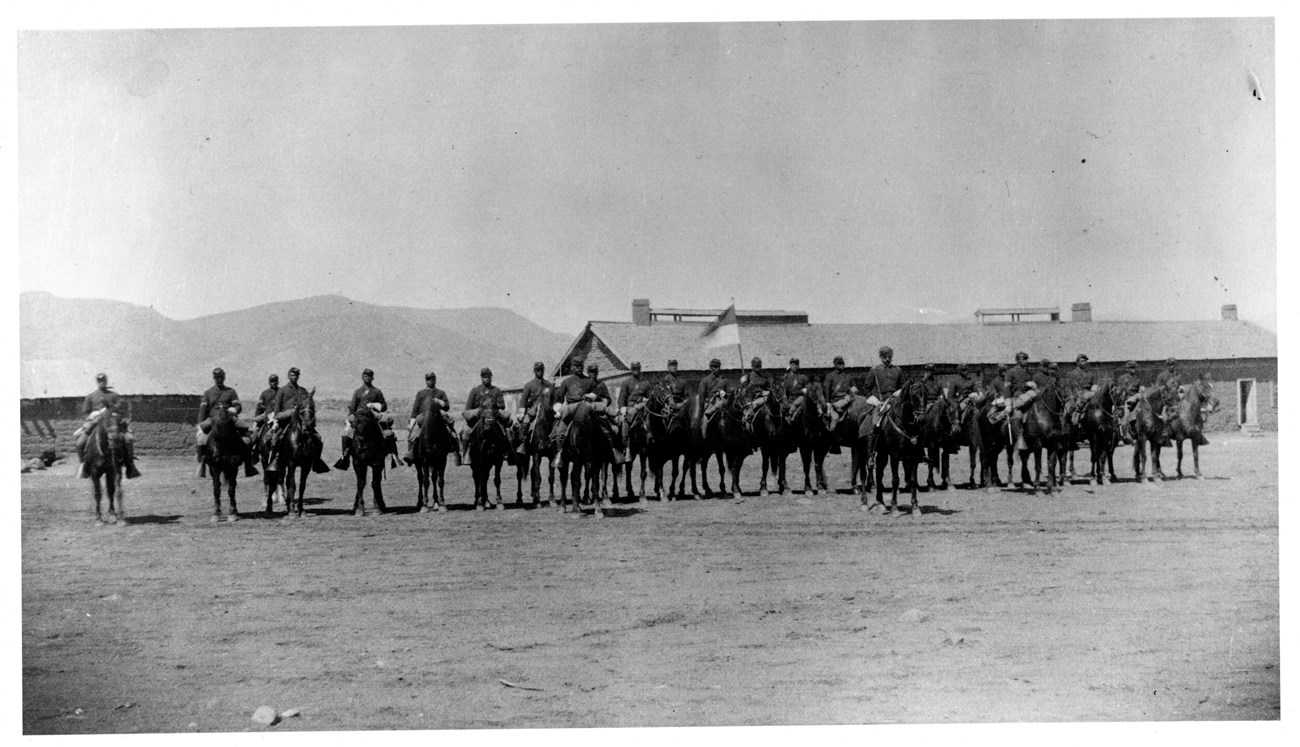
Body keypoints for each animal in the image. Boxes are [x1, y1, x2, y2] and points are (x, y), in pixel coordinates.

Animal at [863, 381, 925, 517]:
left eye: (926, 394)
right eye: (914, 396)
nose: (921, 418)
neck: (905, 424)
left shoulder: (913, 456)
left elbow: (912, 480)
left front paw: (915, 508)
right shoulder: (894, 455)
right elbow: (895, 480)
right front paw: (895, 508)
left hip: (882, 454)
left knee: (879, 474)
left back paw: (880, 503)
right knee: (864, 473)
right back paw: (864, 503)